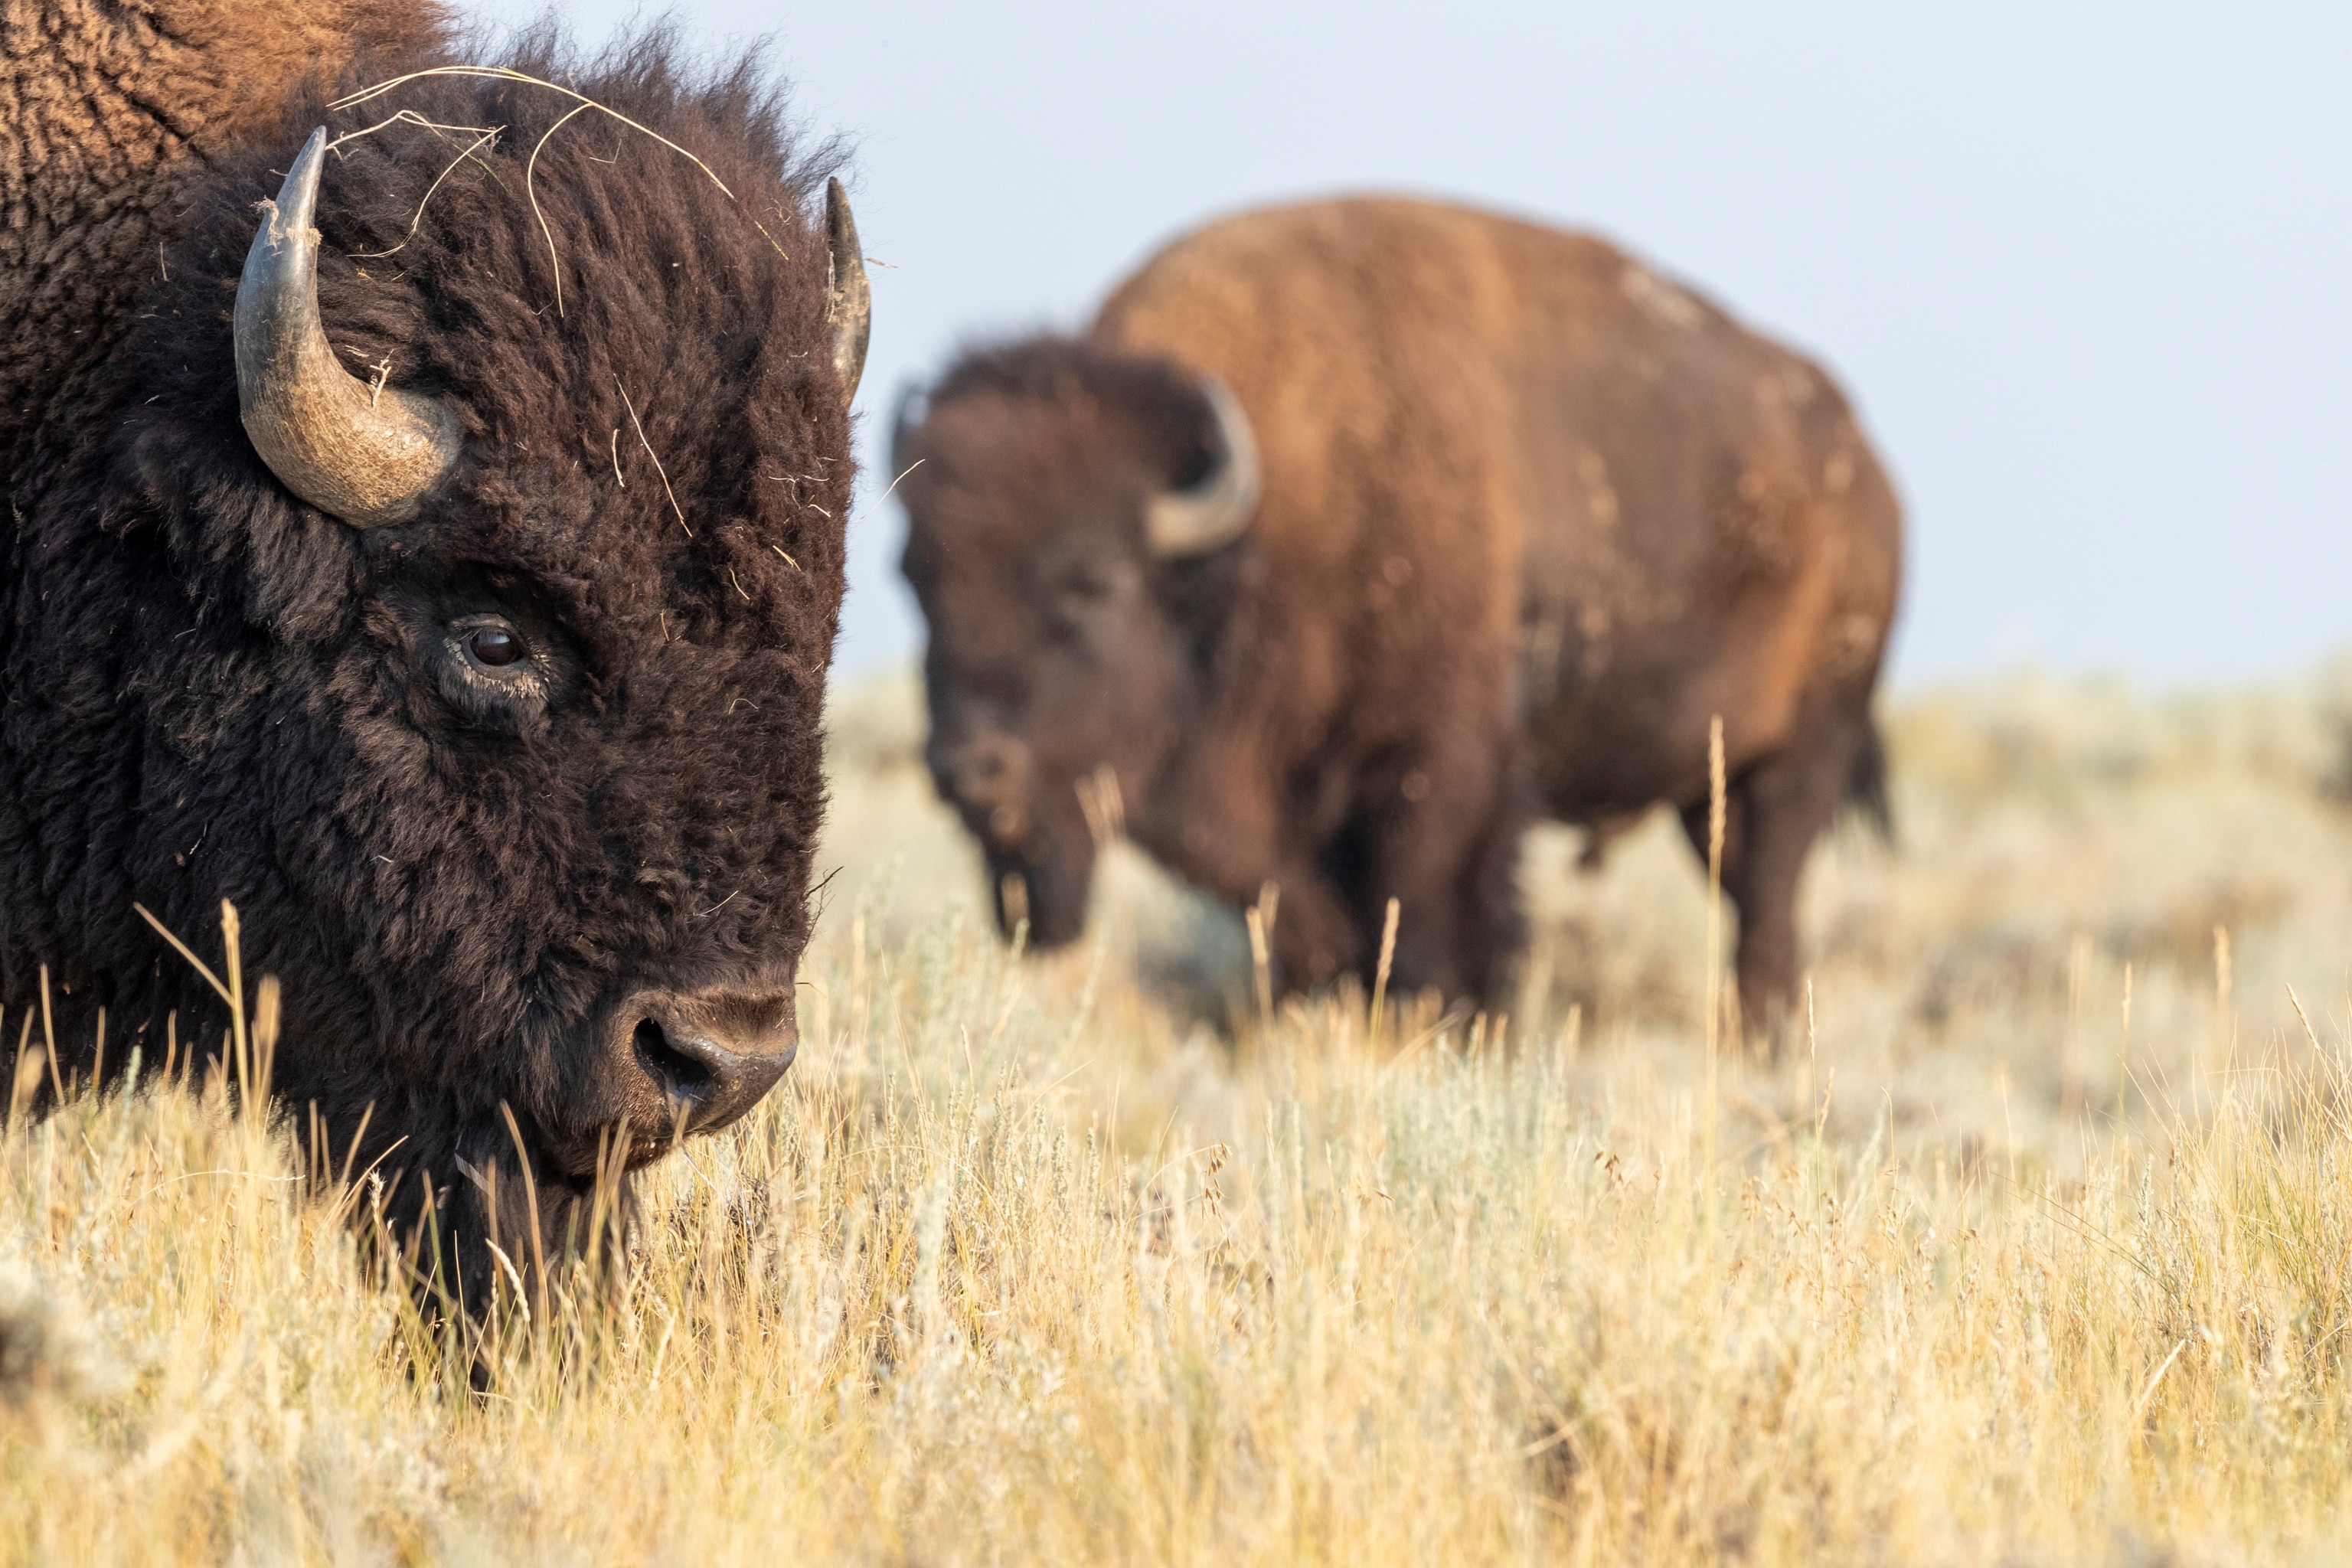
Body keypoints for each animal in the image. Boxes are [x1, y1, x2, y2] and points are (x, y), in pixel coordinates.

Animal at [895, 197, 1900, 1035]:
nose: (967, 767)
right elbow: (1307, 926)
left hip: (1800, 753)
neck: (1264, 528)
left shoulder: (1438, 773)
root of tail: (1868, 473)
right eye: (914, 576)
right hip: (1706, 789)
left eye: (1092, 580)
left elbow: (1430, 922)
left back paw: (1760, 1041)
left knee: (1767, 900)